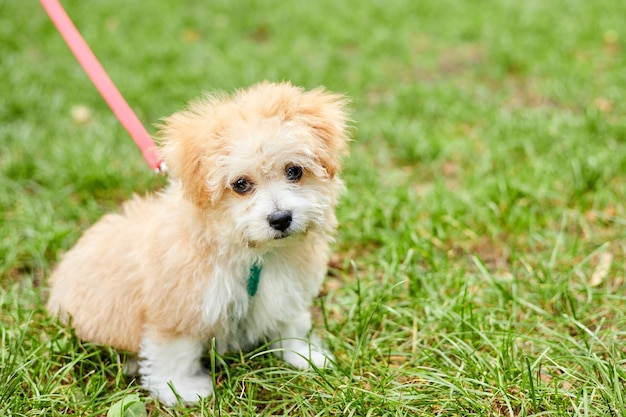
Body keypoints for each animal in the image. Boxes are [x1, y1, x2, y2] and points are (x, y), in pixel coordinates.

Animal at [47, 80, 352, 404]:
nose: (280, 218)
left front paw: (305, 356)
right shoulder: (180, 304)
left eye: (294, 171)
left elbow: (291, 322)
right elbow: (175, 352)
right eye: (240, 184)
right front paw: (181, 389)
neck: (253, 253)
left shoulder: (286, 289)